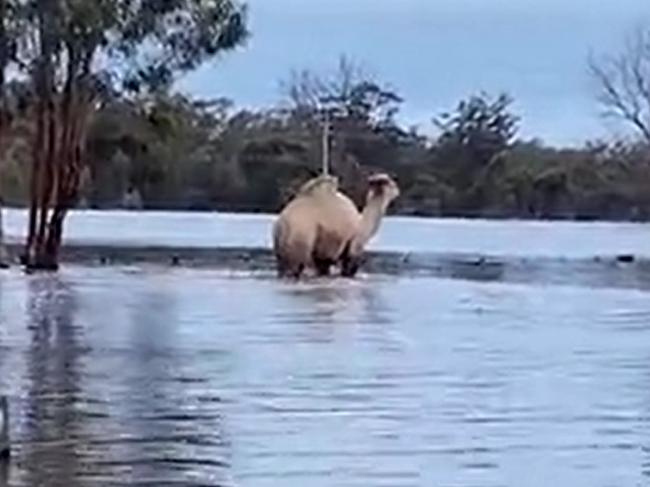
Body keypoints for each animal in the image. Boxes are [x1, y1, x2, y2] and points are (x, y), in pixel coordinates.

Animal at [270, 173, 398, 280]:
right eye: (391, 183)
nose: (398, 190)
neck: (362, 224)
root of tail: (281, 225)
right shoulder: (352, 246)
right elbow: (348, 269)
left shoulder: (323, 256)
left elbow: (323, 269)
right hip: (301, 237)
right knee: (295, 267)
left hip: (281, 250)